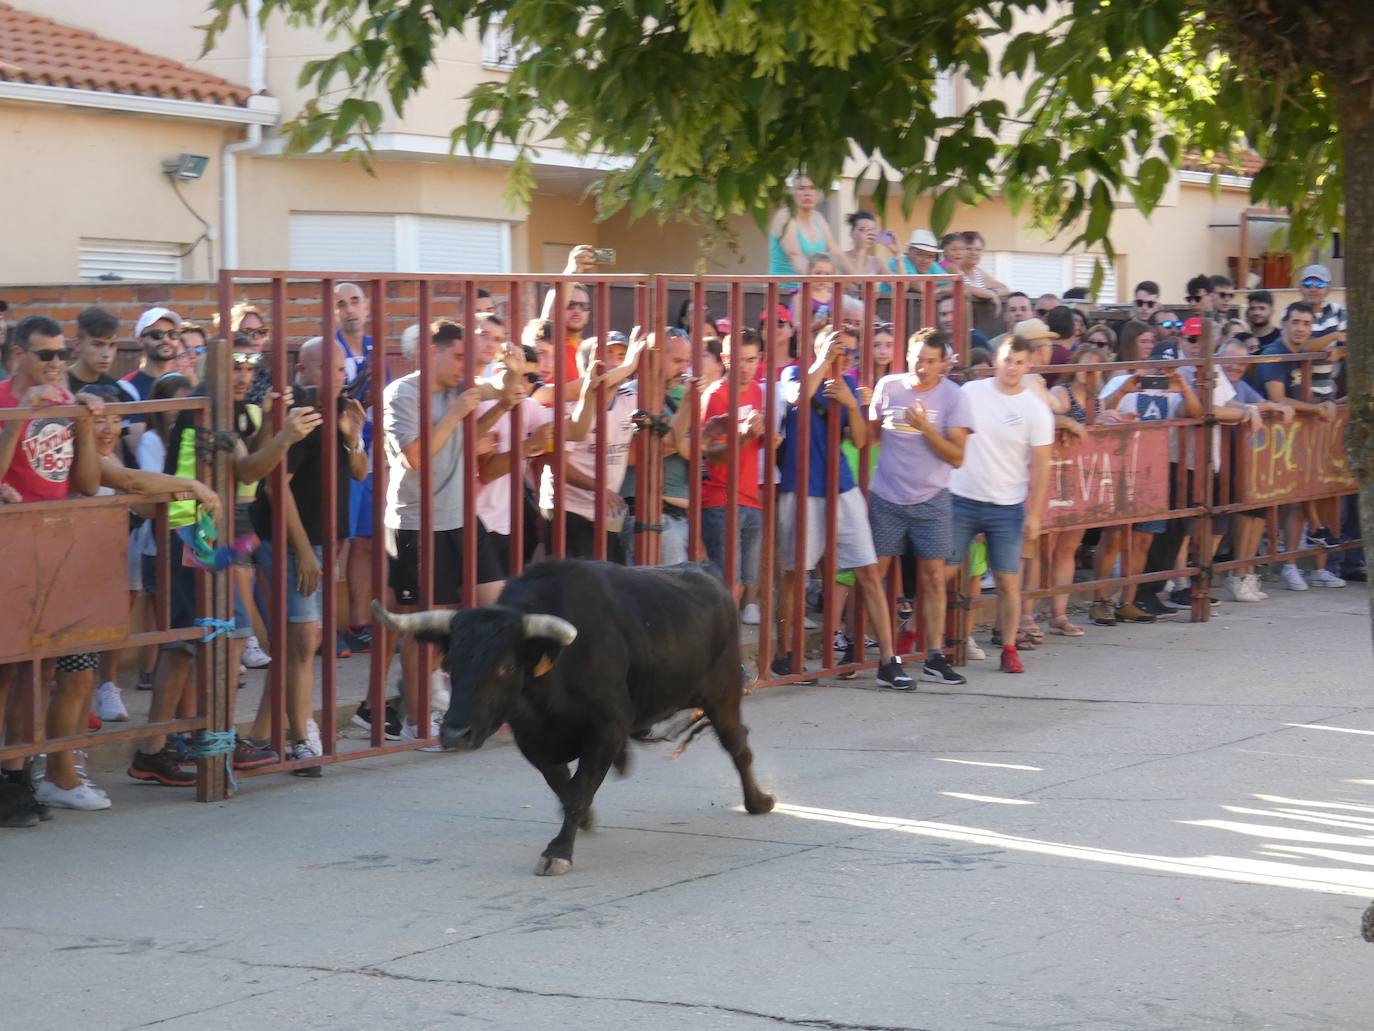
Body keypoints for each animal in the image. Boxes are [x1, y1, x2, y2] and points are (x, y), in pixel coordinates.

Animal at [370, 560, 774, 874]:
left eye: (505, 667)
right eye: (450, 664)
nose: (455, 733)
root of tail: (707, 574)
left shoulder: (608, 728)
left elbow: (578, 790)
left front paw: (558, 852)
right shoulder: (531, 739)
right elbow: (564, 786)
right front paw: (583, 821)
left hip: (723, 695)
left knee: (739, 747)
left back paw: (759, 802)